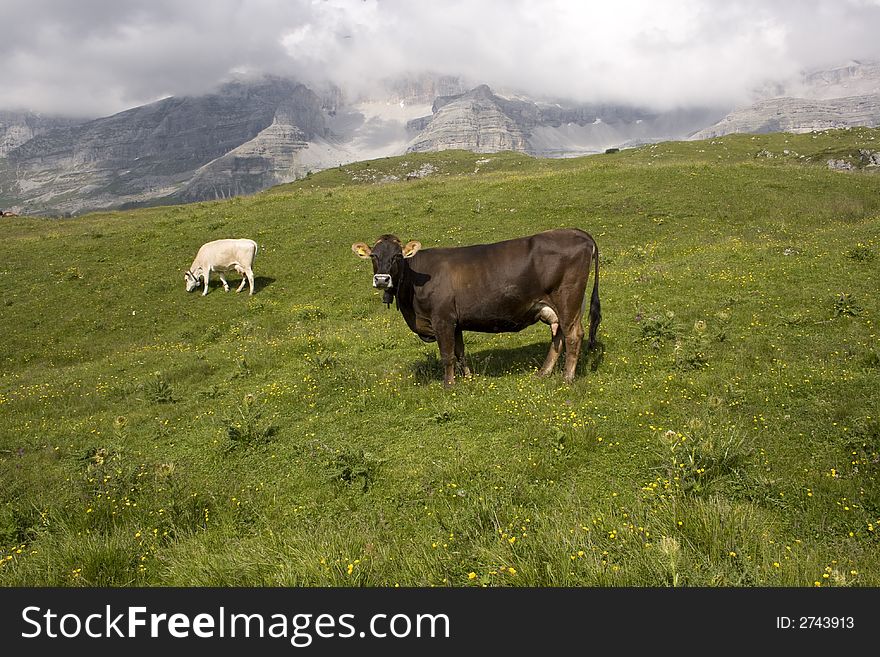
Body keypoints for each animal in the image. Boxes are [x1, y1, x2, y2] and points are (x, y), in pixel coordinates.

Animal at [354, 229, 600, 384]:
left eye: (397, 256)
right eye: (374, 256)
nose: (382, 279)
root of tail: (577, 232)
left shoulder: (442, 319)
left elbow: (447, 355)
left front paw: (449, 385)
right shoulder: (455, 322)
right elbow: (460, 352)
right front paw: (468, 379)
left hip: (568, 298)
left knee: (573, 335)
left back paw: (567, 378)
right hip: (558, 306)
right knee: (559, 335)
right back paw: (543, 373)